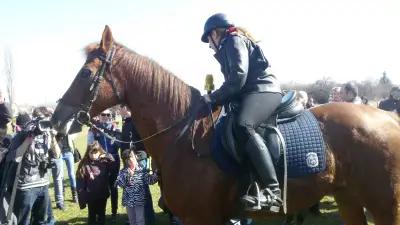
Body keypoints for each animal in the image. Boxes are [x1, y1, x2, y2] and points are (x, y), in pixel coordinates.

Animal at [52, 25, 400, 224]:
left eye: (85, 73)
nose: (57, 120)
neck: (184, 136)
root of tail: (389, 119)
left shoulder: (200, 218)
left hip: (385, 206)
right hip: (349, 199)